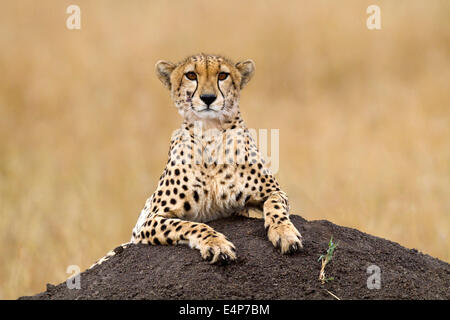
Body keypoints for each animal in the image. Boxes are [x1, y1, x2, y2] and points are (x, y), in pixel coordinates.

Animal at [91, 53, 302, 266]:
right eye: (191, 75)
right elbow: (190, 225)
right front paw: (216, 244)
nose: (208, 98)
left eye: (223, 75)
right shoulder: (150, 219)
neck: (211, 131)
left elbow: (275, 206)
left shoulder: (273, 191)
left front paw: (285, 234)